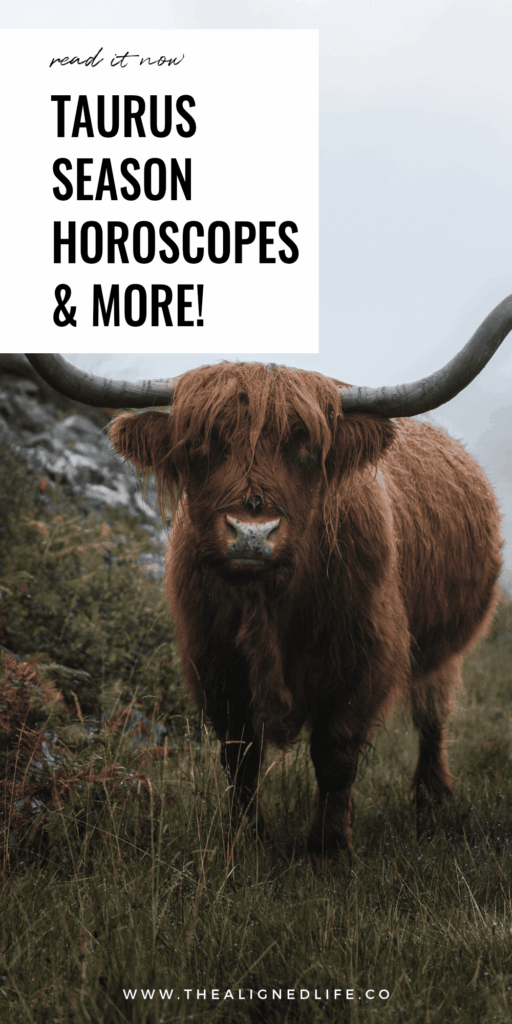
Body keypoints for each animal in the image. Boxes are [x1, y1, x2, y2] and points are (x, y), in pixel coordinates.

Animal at [26, 293, 512, 861]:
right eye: (202, 446)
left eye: (304, 448)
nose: (252, 532)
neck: (271, 601)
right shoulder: (214, 660)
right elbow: (240, 756)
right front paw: (247, 840)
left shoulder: (366, 658)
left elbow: (336, 754)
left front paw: (328, 850)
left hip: (447, 649)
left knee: (433, 716)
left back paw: (433, 802)